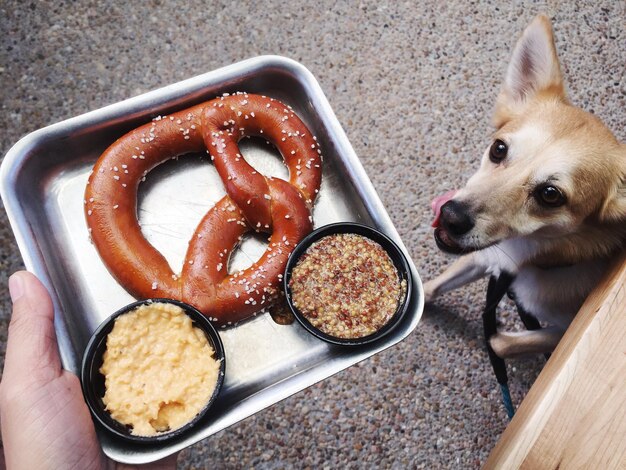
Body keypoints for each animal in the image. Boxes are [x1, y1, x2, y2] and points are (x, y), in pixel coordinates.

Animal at [424, 15, 624, 360]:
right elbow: (431, 287)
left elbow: (499, 343)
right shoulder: (485, 256)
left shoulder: (562, 335)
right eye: (498, 149)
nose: (450, 216)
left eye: (550, 195)